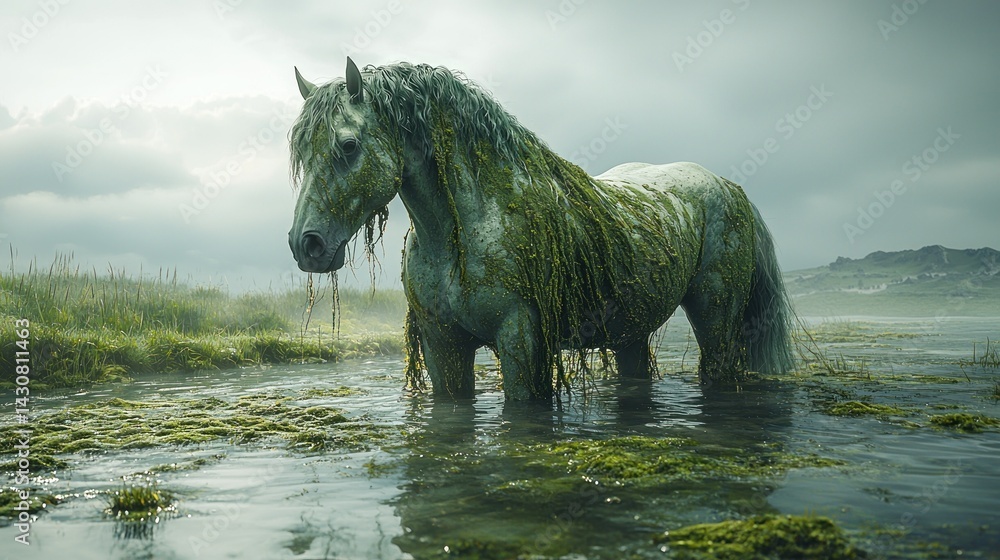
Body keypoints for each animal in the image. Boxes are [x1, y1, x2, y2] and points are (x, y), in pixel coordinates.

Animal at [287, 58, 795, 401]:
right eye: (300, 151)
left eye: (348, 145)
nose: (306, 244)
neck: (460, 234)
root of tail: (728, 186)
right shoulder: (442, 345)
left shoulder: (520, 339)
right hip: (631, 332)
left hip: (716, 320)